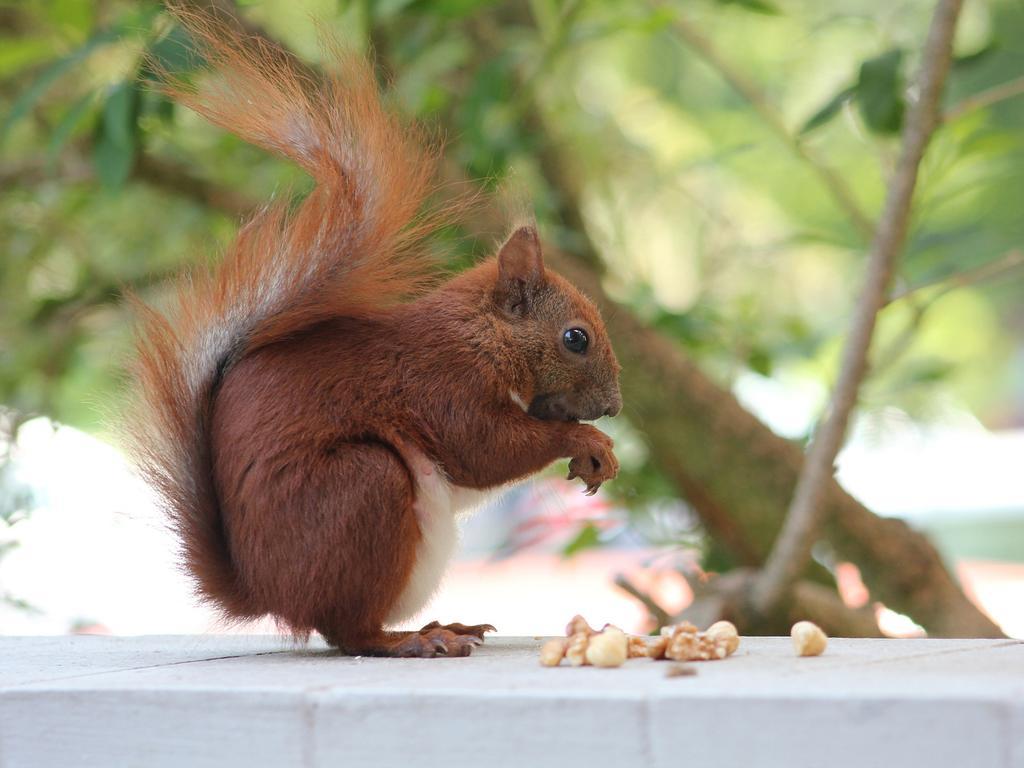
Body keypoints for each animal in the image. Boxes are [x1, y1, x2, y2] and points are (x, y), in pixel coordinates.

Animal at [128, 10, 622, 663]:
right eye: (575, 338)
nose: (614, 407)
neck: (482, 337)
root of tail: (264, 591)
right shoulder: (442, 382)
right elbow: (485, 448)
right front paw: (586, 440)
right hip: (364, 489)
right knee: (348, 630)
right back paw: (414, 640)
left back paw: (446, 625)